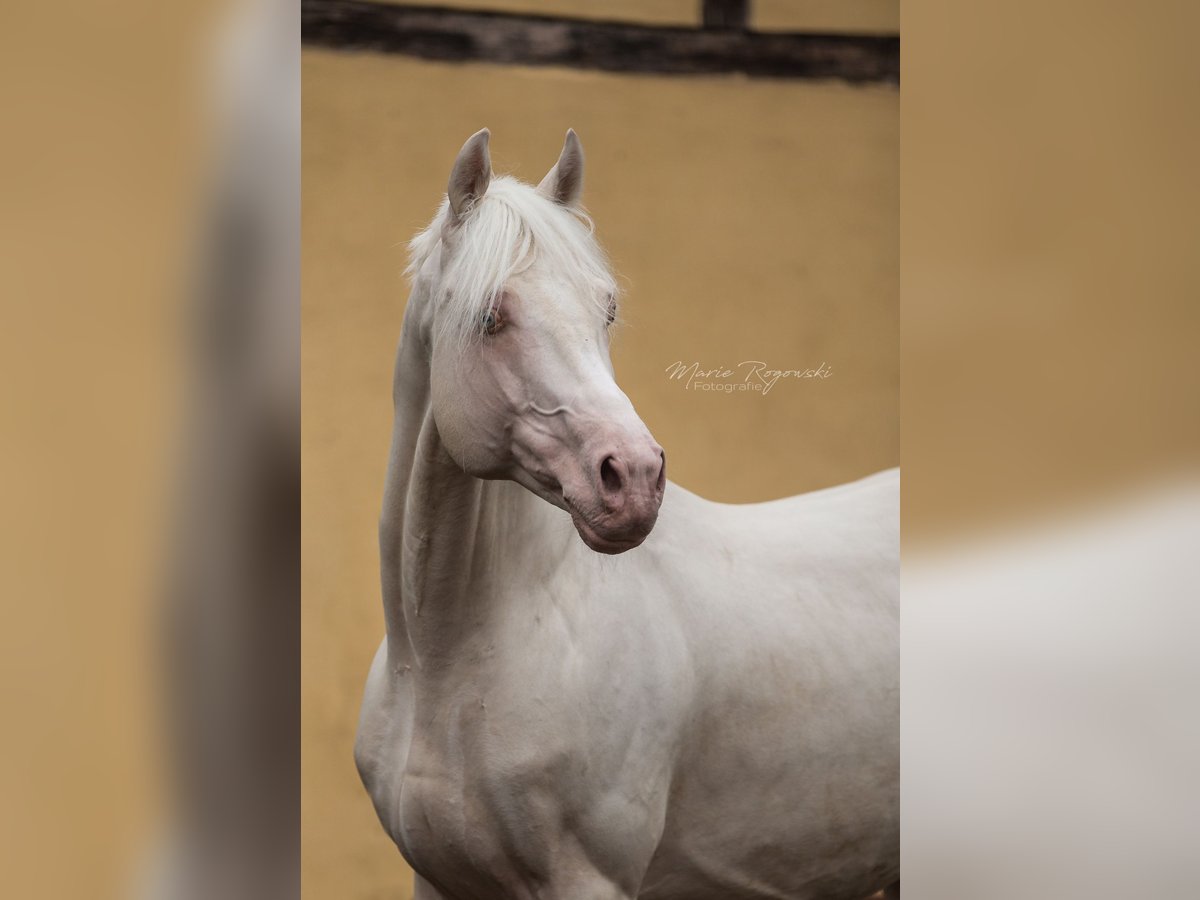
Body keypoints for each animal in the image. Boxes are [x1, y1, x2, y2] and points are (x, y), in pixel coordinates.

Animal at [354, 128, 899, 900]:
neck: (441, 667)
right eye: (491, 316)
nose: (635, 479)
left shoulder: (590, 880)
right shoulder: (437, 881)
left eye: (606, 310)